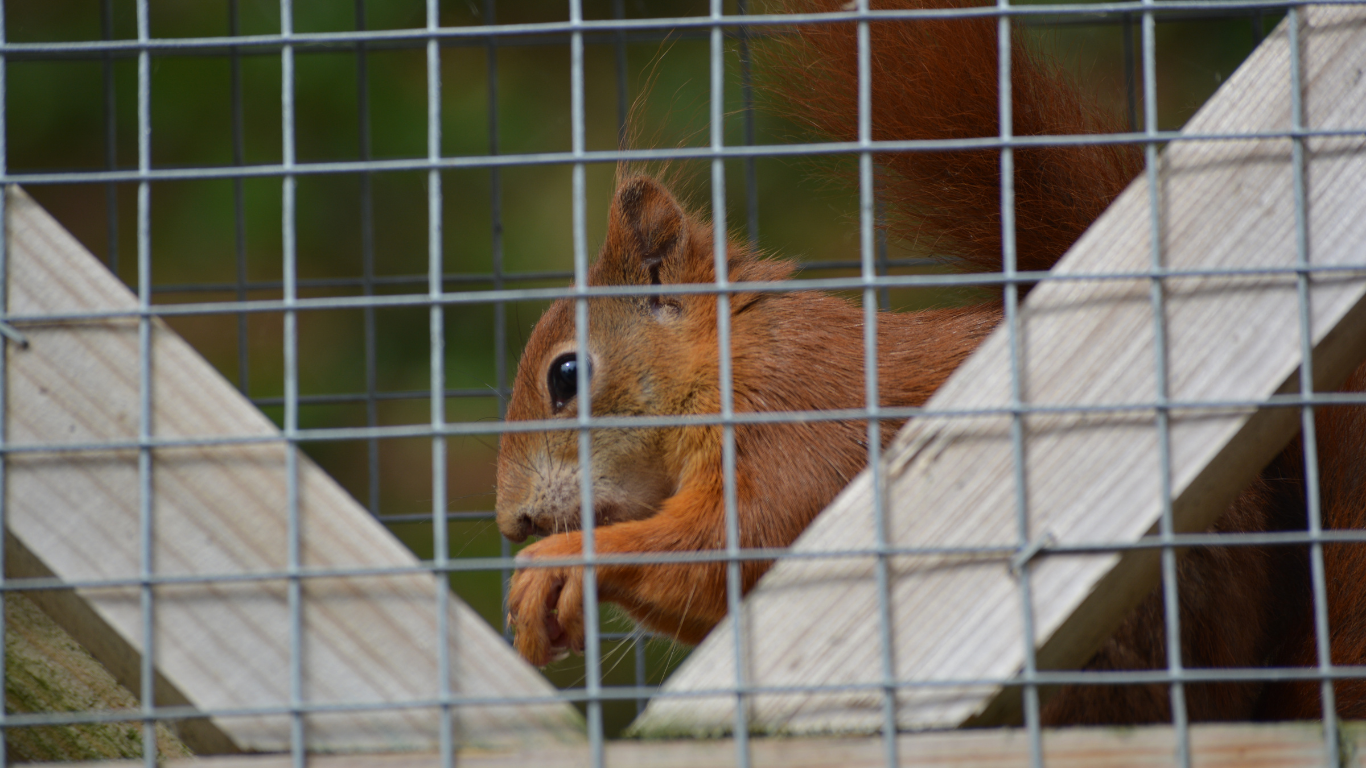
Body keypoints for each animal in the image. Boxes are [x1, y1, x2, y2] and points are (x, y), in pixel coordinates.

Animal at [495, 0, 1366, 725]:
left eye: (566, 376)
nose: (513, 524)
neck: (730, 360)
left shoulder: (793, 423)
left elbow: (731, 542)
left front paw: (562, 561)